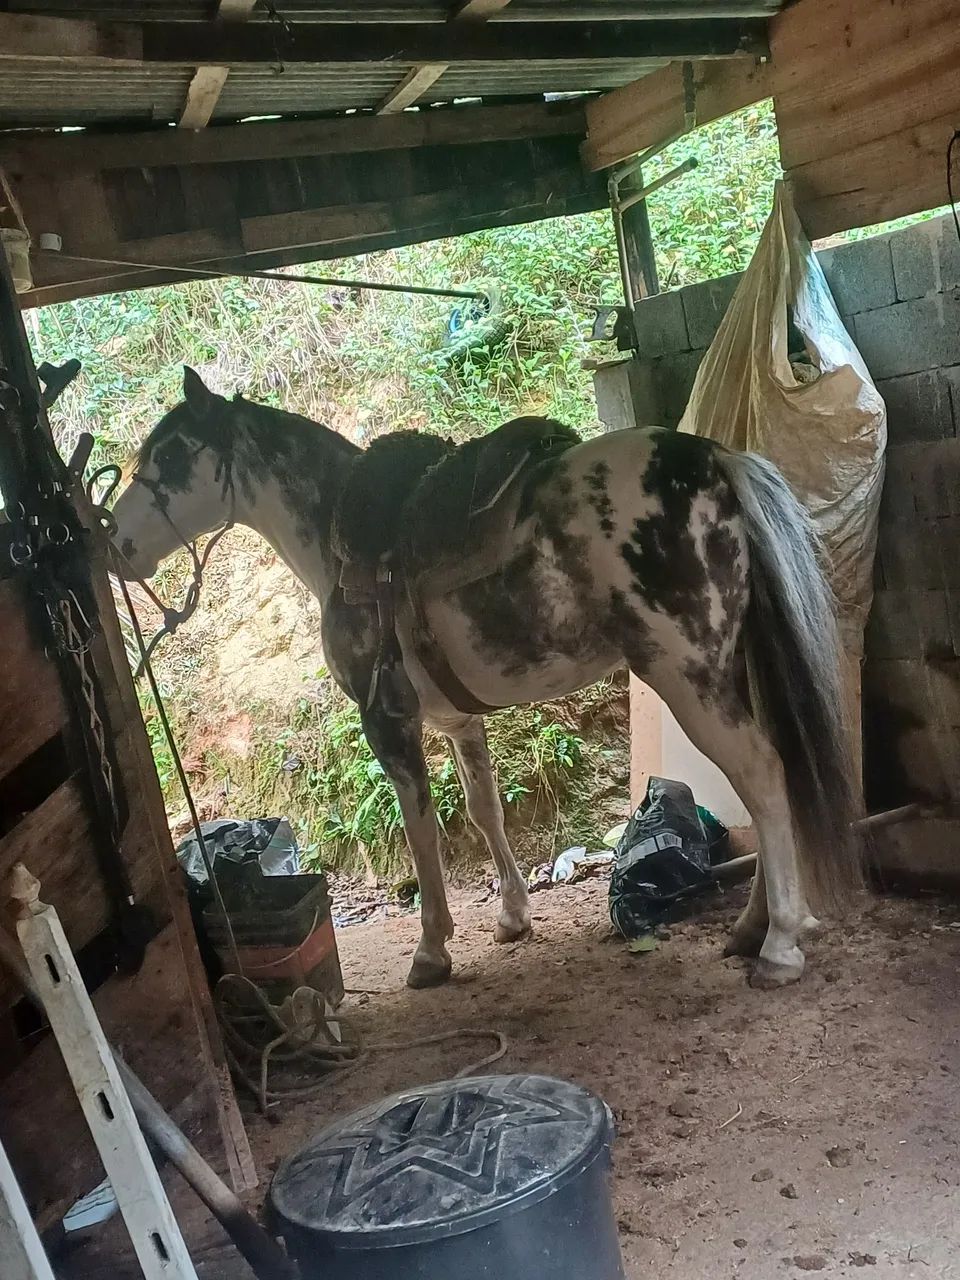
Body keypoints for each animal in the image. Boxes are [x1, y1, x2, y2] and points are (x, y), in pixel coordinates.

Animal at [111, 367, 859, 992]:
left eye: (171, 456)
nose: (115, 546)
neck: (341, 544)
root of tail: (714, 461)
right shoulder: (456, 721)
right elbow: (482, 809)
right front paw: (512, 917)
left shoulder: (389, 722)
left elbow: (422, 831)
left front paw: (431, 952)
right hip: (730, 669)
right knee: (770, 781)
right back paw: (754, 927)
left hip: (689, 678)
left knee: (761, 774)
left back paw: (780, 946)